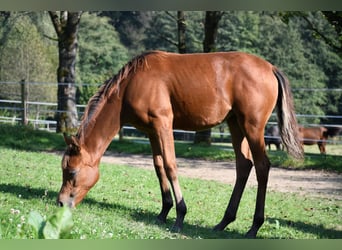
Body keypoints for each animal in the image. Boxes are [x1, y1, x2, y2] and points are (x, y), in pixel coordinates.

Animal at [57, 50, 304, 238]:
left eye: (72, 172)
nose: (60, 203)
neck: (131, 85)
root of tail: (270, 68)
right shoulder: (151, 131)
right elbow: (158, 167)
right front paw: (163, 212)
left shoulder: (163, 124)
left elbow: (170, 166)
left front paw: (180, 216)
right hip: (236, 124)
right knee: (244, 166)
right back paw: (224, 222)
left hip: (252, 127)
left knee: (262, 167)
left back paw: (254, 227)